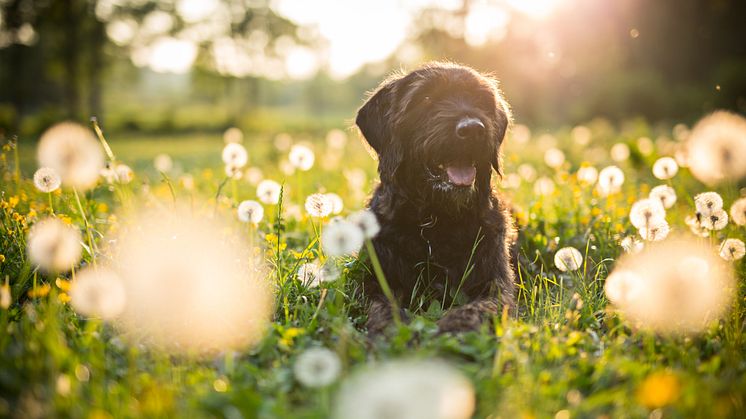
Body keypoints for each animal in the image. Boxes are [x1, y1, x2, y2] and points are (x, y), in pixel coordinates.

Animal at [356, 61, 516, 334]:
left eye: (480, 100)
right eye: (426, 98)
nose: (472, 129)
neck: (437, 222)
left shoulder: (497, 284)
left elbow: (480, 306)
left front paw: (454, 327)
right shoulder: (371, 280)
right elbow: (380, 306)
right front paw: (393, 329)